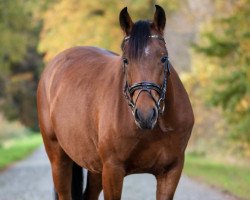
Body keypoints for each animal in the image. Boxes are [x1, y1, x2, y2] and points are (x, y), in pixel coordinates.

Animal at [36, 4, 193, 200]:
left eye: (164, 58)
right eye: (125, 60)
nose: (146, 115)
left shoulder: (171, 171)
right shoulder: (113, 170)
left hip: (95, 167)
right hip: (59, 160)